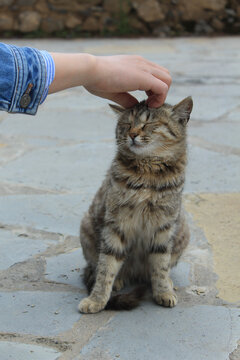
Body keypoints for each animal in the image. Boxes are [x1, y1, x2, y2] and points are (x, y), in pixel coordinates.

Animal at [79, 97, 193, 314]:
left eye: (148, 123)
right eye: (127, 124)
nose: (132, 134)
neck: (147, 172)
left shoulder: (164, 226)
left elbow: (160, 266)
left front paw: (163, 291)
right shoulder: (116, 224)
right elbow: (106, 267)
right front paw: (97, 299)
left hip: (182, 230)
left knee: (154, 272)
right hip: (88, 227)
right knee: (98, 266)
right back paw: (118, 280)